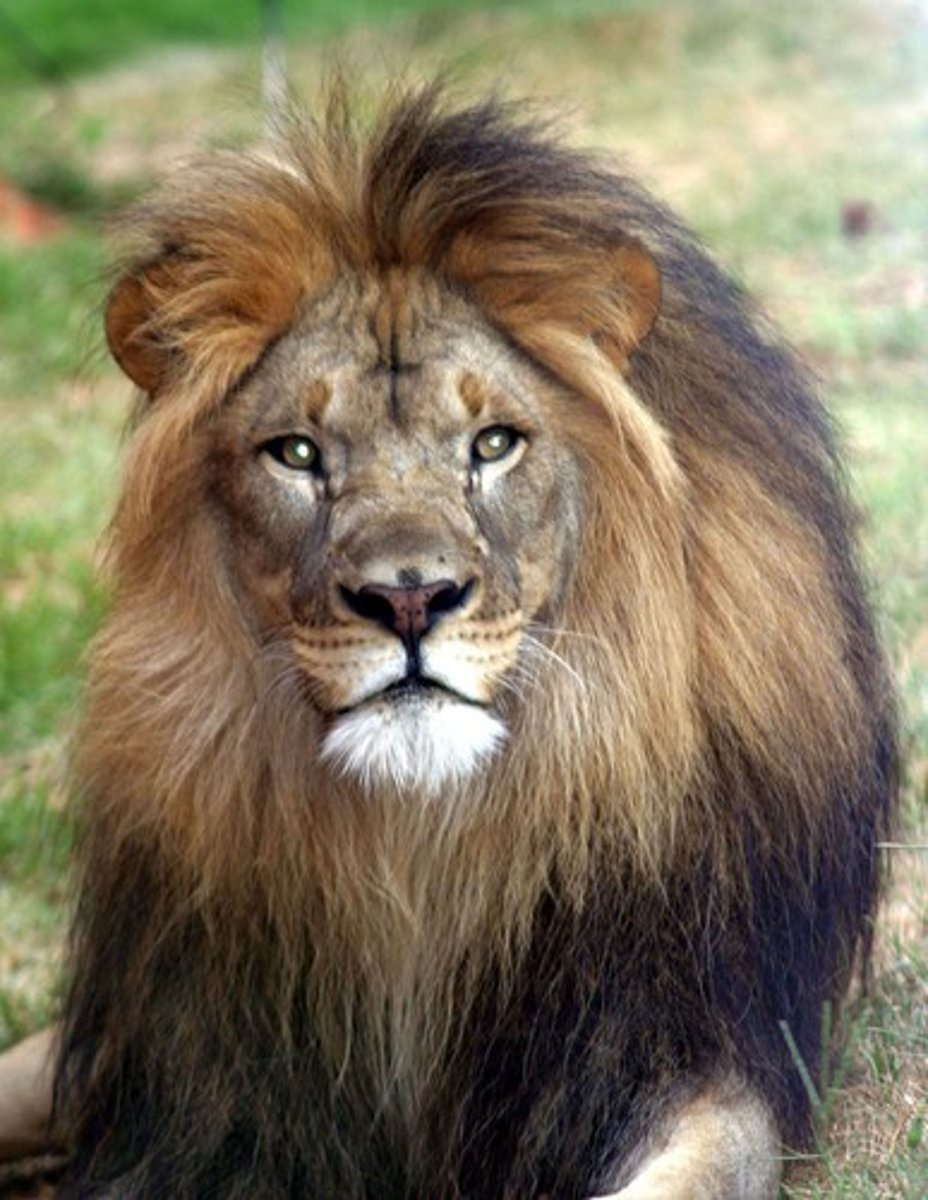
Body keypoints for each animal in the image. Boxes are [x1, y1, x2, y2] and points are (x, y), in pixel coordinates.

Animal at [0, 85, 896, 1198]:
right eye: (298, 454)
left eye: (494, 443)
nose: (410, 599)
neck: (425, 854)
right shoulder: (204, 1097)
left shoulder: (686, 1045)